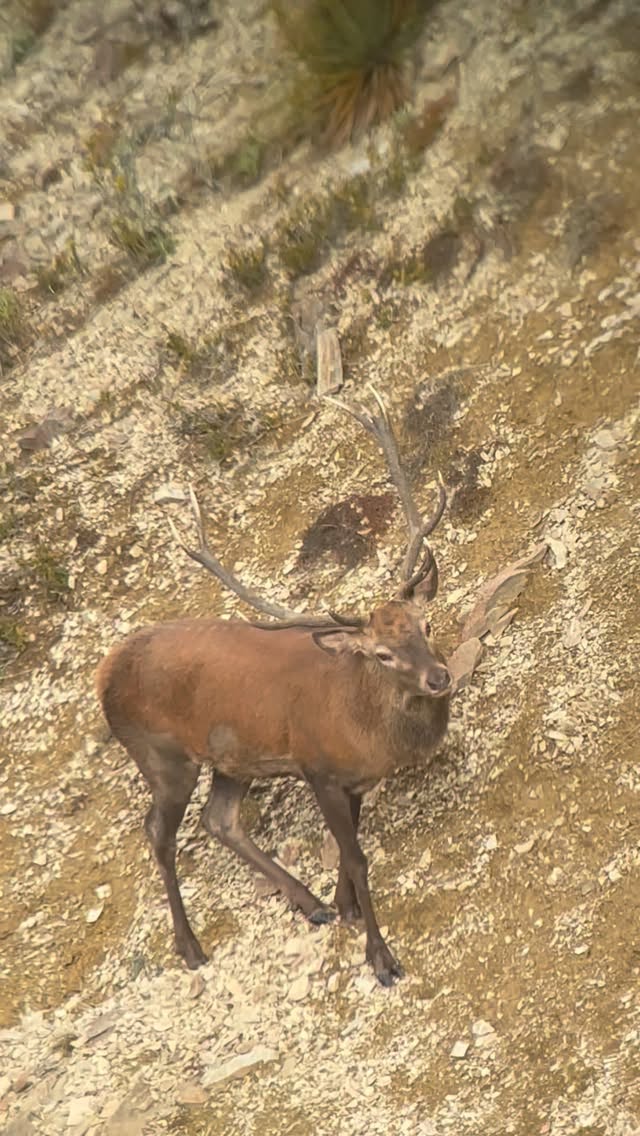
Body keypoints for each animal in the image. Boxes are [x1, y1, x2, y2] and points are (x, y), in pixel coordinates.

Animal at [96, 393, 451, 986]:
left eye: (426, 625)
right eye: (381, 654)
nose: (440, 677)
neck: (368, 732)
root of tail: (102, 674)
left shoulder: (350, 780)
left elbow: (348, 848)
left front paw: (345, 906)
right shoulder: (315, 765)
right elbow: (357, 855)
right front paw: (380, 957)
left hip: (230, 758)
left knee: (218, 819)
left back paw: (311, 903)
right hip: (161, 755)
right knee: (158, 832)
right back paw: (190, 946)